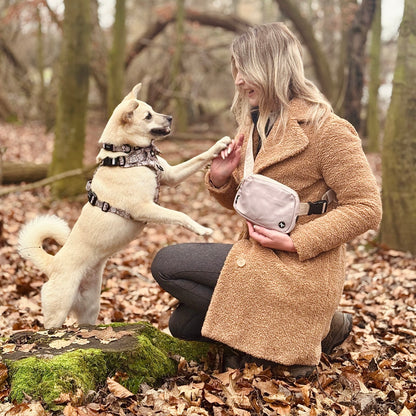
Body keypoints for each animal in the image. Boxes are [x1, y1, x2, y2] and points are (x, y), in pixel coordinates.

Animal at [18, 83, 231, 328]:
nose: (170, 117)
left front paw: (220, 145)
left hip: (90, 307)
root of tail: (53, 264)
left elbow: (198, 158)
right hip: (58, 309)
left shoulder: (172, 176)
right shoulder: (144, 208)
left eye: (153, 109)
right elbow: (179, 215)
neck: (127, 154)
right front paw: (201, 230)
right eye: (148, 116)